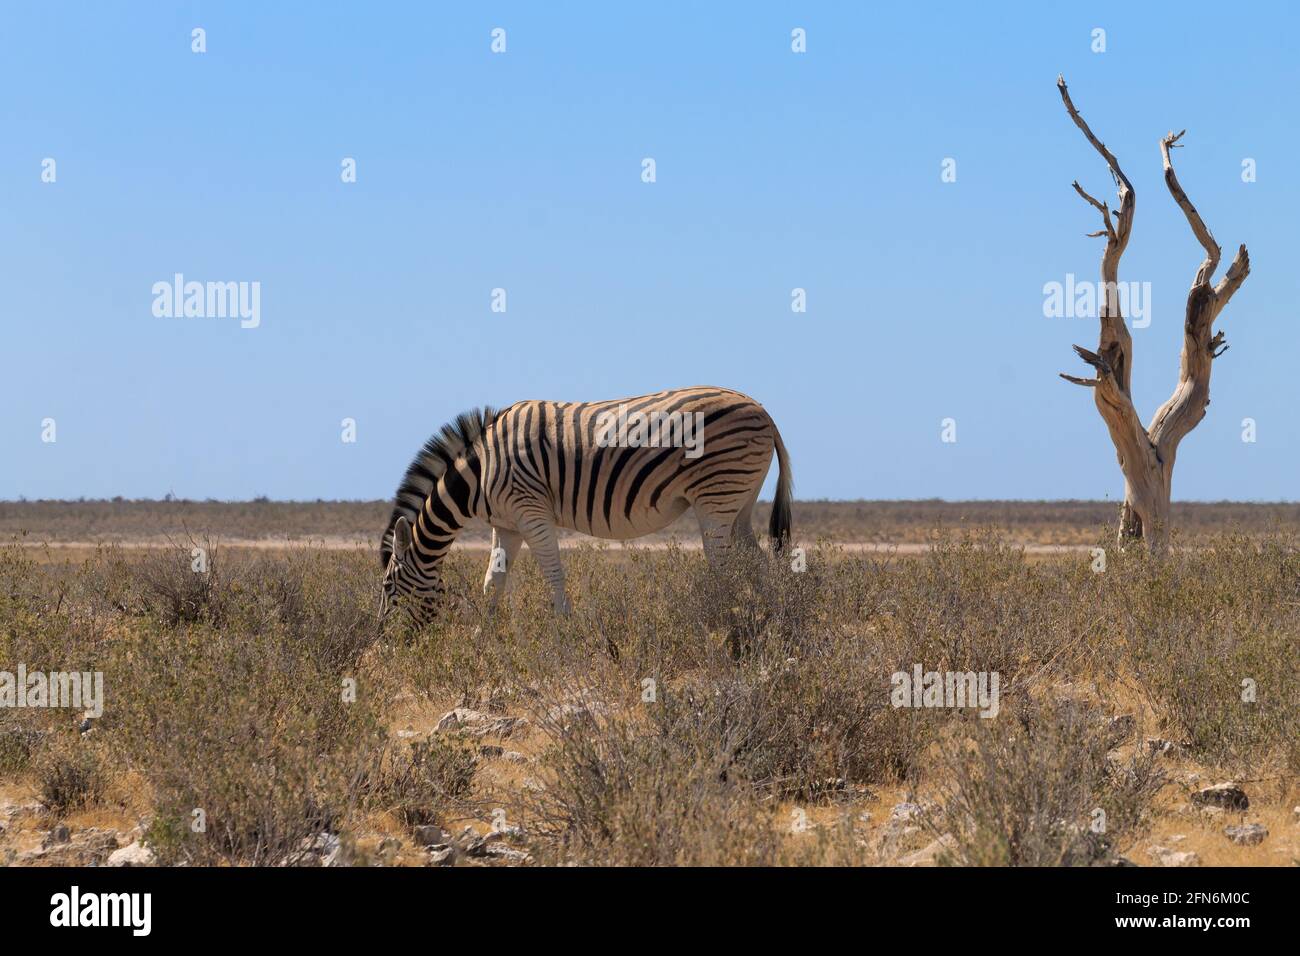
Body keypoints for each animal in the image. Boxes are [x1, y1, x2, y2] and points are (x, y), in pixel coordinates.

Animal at [378, 386, 793, 627]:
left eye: (388, 586)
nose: (385, 644)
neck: (482, 472)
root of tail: (762, 410)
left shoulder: (530, 511)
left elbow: (554, 573)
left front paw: (565, 632)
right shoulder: (506, 524)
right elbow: (492, 580)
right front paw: (485, 635)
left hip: (716, 498)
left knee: (726, 567)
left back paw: (728, 622)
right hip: (739, 503)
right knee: (756, 564)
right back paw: (772, 622)